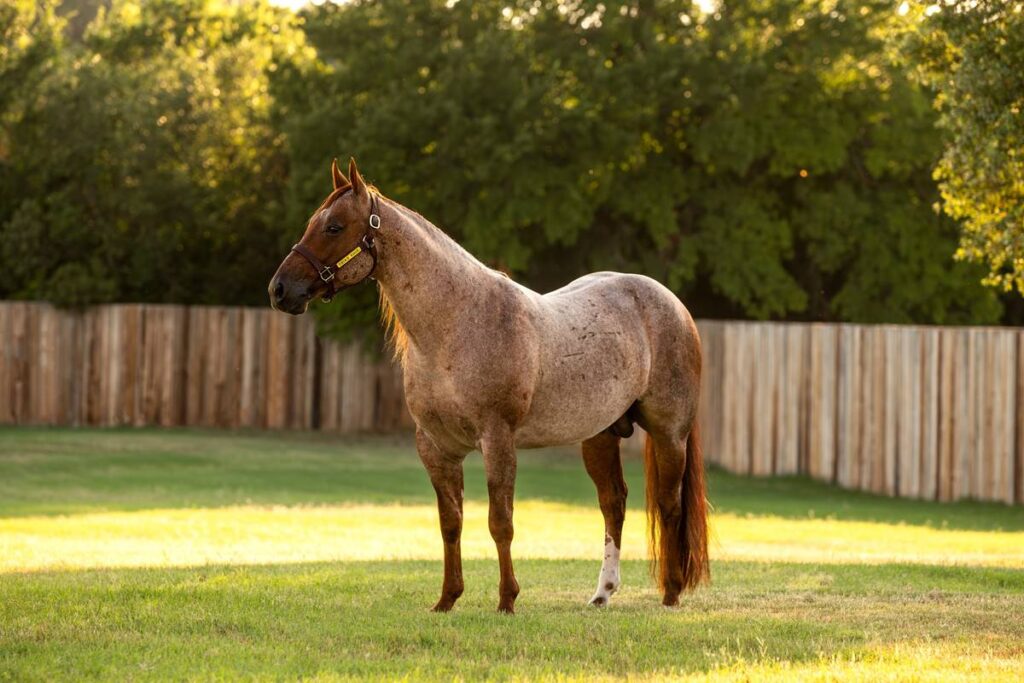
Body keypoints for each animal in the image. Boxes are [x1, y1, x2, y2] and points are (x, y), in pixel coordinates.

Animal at [268, 158, 708, 614]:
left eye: (334, 227)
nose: (280, 290)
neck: (457, 324)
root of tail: (672, 305)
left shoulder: (497, 440)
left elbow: (501, 522)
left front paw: (507, 600)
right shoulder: (436, 447)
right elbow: (450, 523)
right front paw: (447, 599)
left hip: (669, 434)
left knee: (669, 505)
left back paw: (671, 593)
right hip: (600, 436)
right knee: (613, 503)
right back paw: (603, 592)